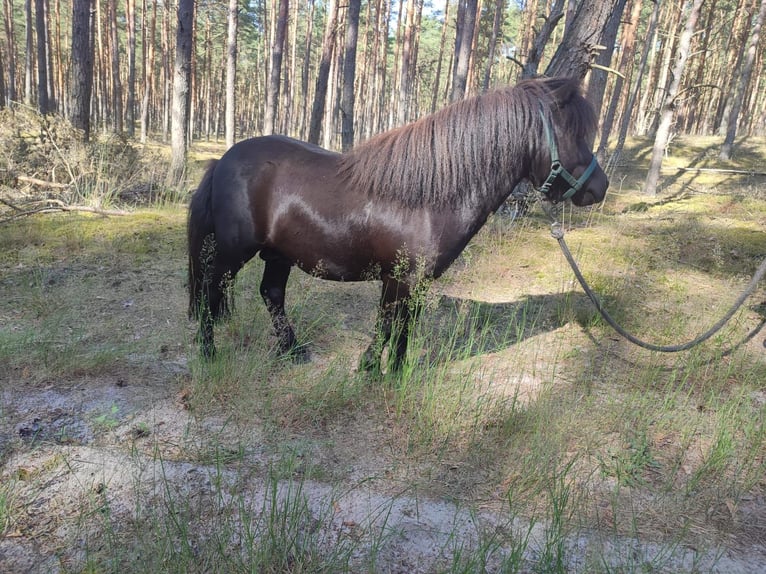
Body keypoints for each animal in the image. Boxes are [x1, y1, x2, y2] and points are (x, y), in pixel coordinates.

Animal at [187, 76, 609, 372]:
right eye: (574, 134)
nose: (599, 187)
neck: (427, 197)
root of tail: (223, 160)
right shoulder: (398, 279)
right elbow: (389, 325)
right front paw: (371, 367)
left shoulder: (416, 283)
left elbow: (404, 328)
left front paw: (396, 373)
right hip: (232, 253)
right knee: (210, 293)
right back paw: (208, 353)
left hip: (279, 254)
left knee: (271, 294)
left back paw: (292, 351)